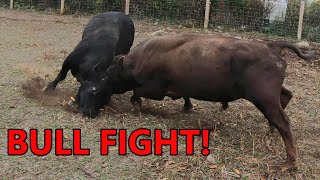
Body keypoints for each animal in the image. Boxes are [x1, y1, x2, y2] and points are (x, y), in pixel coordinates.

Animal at [104, 34, 314, 171]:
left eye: (112, 70)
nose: (104, 79)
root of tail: (271, 46)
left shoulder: (155, 89)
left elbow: (136, 93)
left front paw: (137, 106)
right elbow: (184, 96)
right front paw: (187, 107)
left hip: (264, 98)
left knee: (284, 122)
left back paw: (289, 162)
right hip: (269, 97)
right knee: (286, 96)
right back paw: (271, 128)